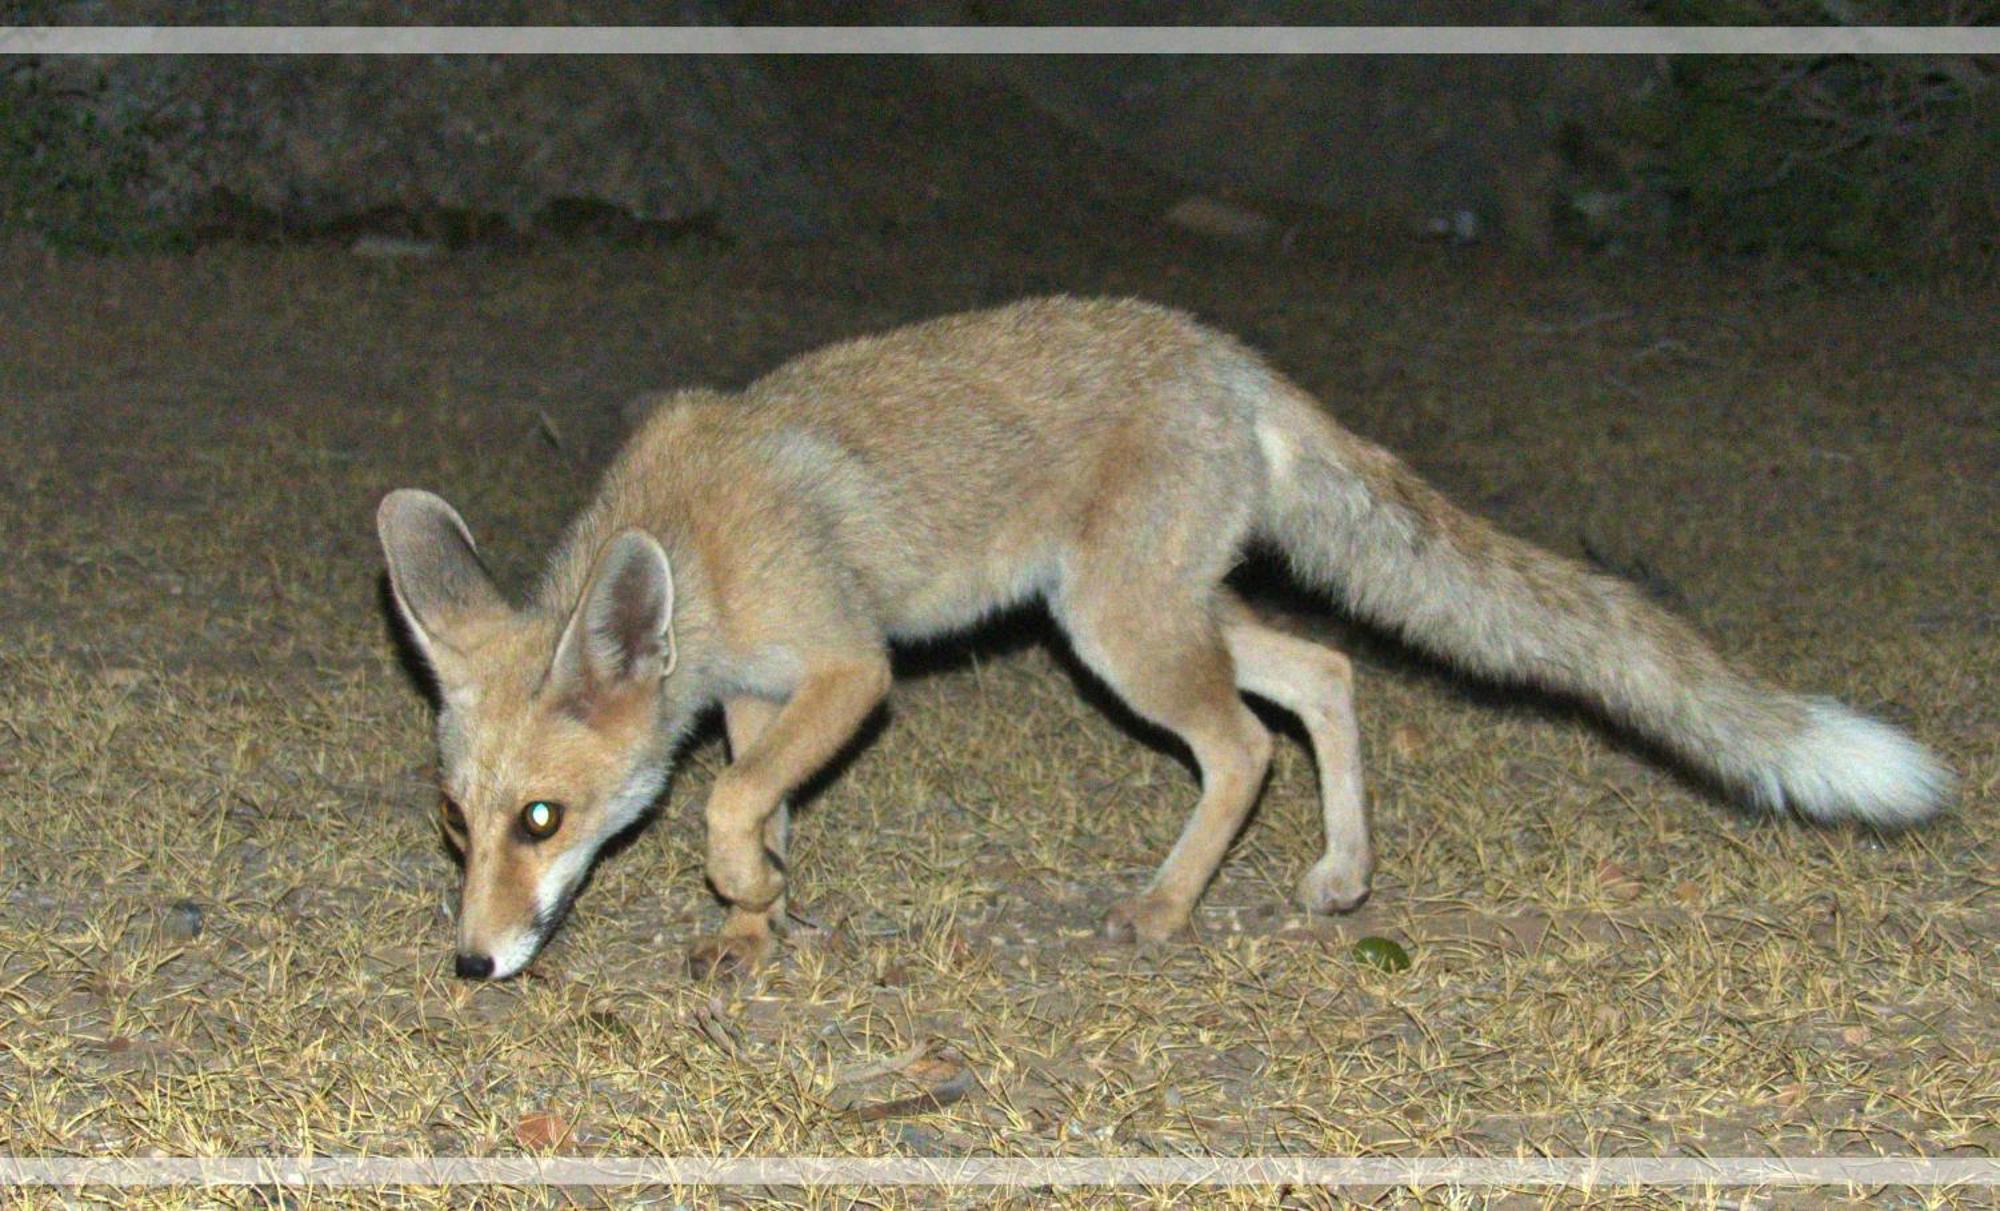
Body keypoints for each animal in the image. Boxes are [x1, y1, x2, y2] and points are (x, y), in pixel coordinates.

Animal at [376, 299, 1952, 983]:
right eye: (456, 828)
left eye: (539, 818)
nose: (471, 962)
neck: (693, 551)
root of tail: (1226, 352)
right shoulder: (768, 697)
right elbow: (747, 806)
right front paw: (762, 914)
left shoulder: (847, 671)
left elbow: (718, 806)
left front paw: (748, 883)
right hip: (1170, 613)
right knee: (1327, 671)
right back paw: (1341, 874)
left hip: (1117, 634)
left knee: (1245, 745)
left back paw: (1170, 906)